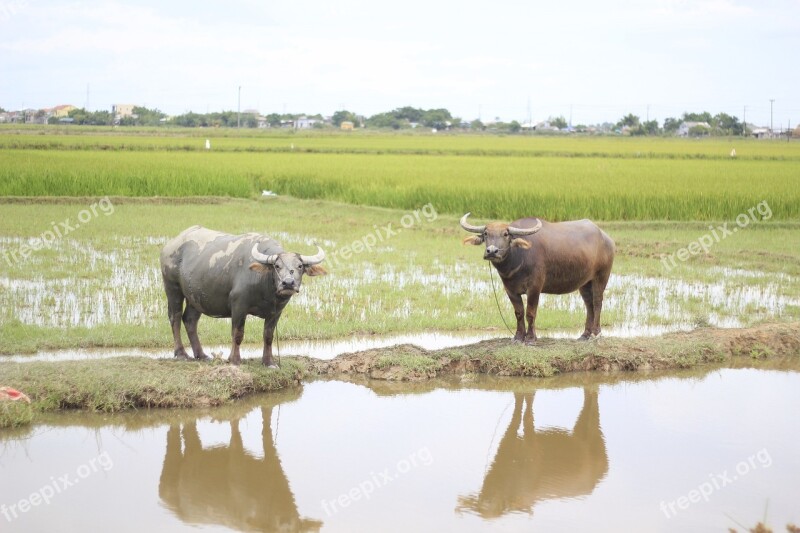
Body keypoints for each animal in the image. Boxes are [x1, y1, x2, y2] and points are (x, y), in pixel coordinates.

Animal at [159, 224, 324, 366]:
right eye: (277, 266)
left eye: (300, 266)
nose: (288, 283)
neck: (267, 289)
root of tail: (170, 245)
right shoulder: (239, 306)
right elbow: (237, 334)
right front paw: (234, 360)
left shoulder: (276, 312)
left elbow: (268, 336)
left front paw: (269, 362)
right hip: (172, 288)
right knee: (175, 317)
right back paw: (181, 354)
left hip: (195, 297)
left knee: (190, 320)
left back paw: (201, 355)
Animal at [460, 214, 616, 342]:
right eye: (486, 233)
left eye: (505, 234)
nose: (492, 251)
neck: (517, 259)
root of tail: (606, 238)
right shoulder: (510, 289)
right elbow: (519, 313)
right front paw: (518, 337)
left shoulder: (535, 287)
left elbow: (530, 312)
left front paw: (530, 338)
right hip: (584, 282)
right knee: (589, 304)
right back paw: (585, 335)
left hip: (602, 275)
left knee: (597, 302)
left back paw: (596, 333)